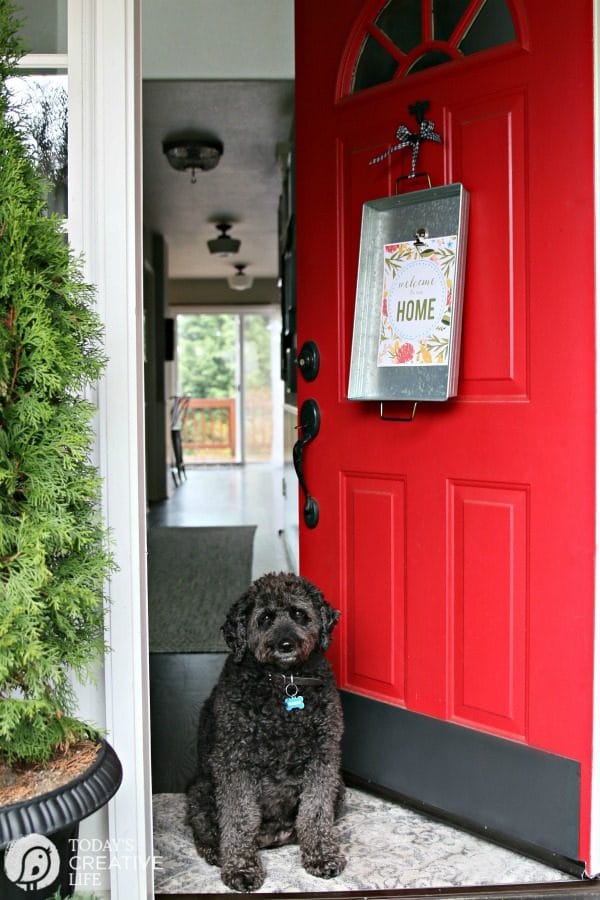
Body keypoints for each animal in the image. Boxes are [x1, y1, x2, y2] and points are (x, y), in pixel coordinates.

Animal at [188, 572, 346, 888]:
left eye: (299, 614)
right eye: (265, 618)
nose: (285, 644)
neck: (284, 683)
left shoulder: (323, 759)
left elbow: (315, 811)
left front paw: (321, 856)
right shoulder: (234, 762)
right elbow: (239, 818)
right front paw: (241, 868)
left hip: (340, 786)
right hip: (199, 790)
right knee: (204, 829)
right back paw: (216, 852)